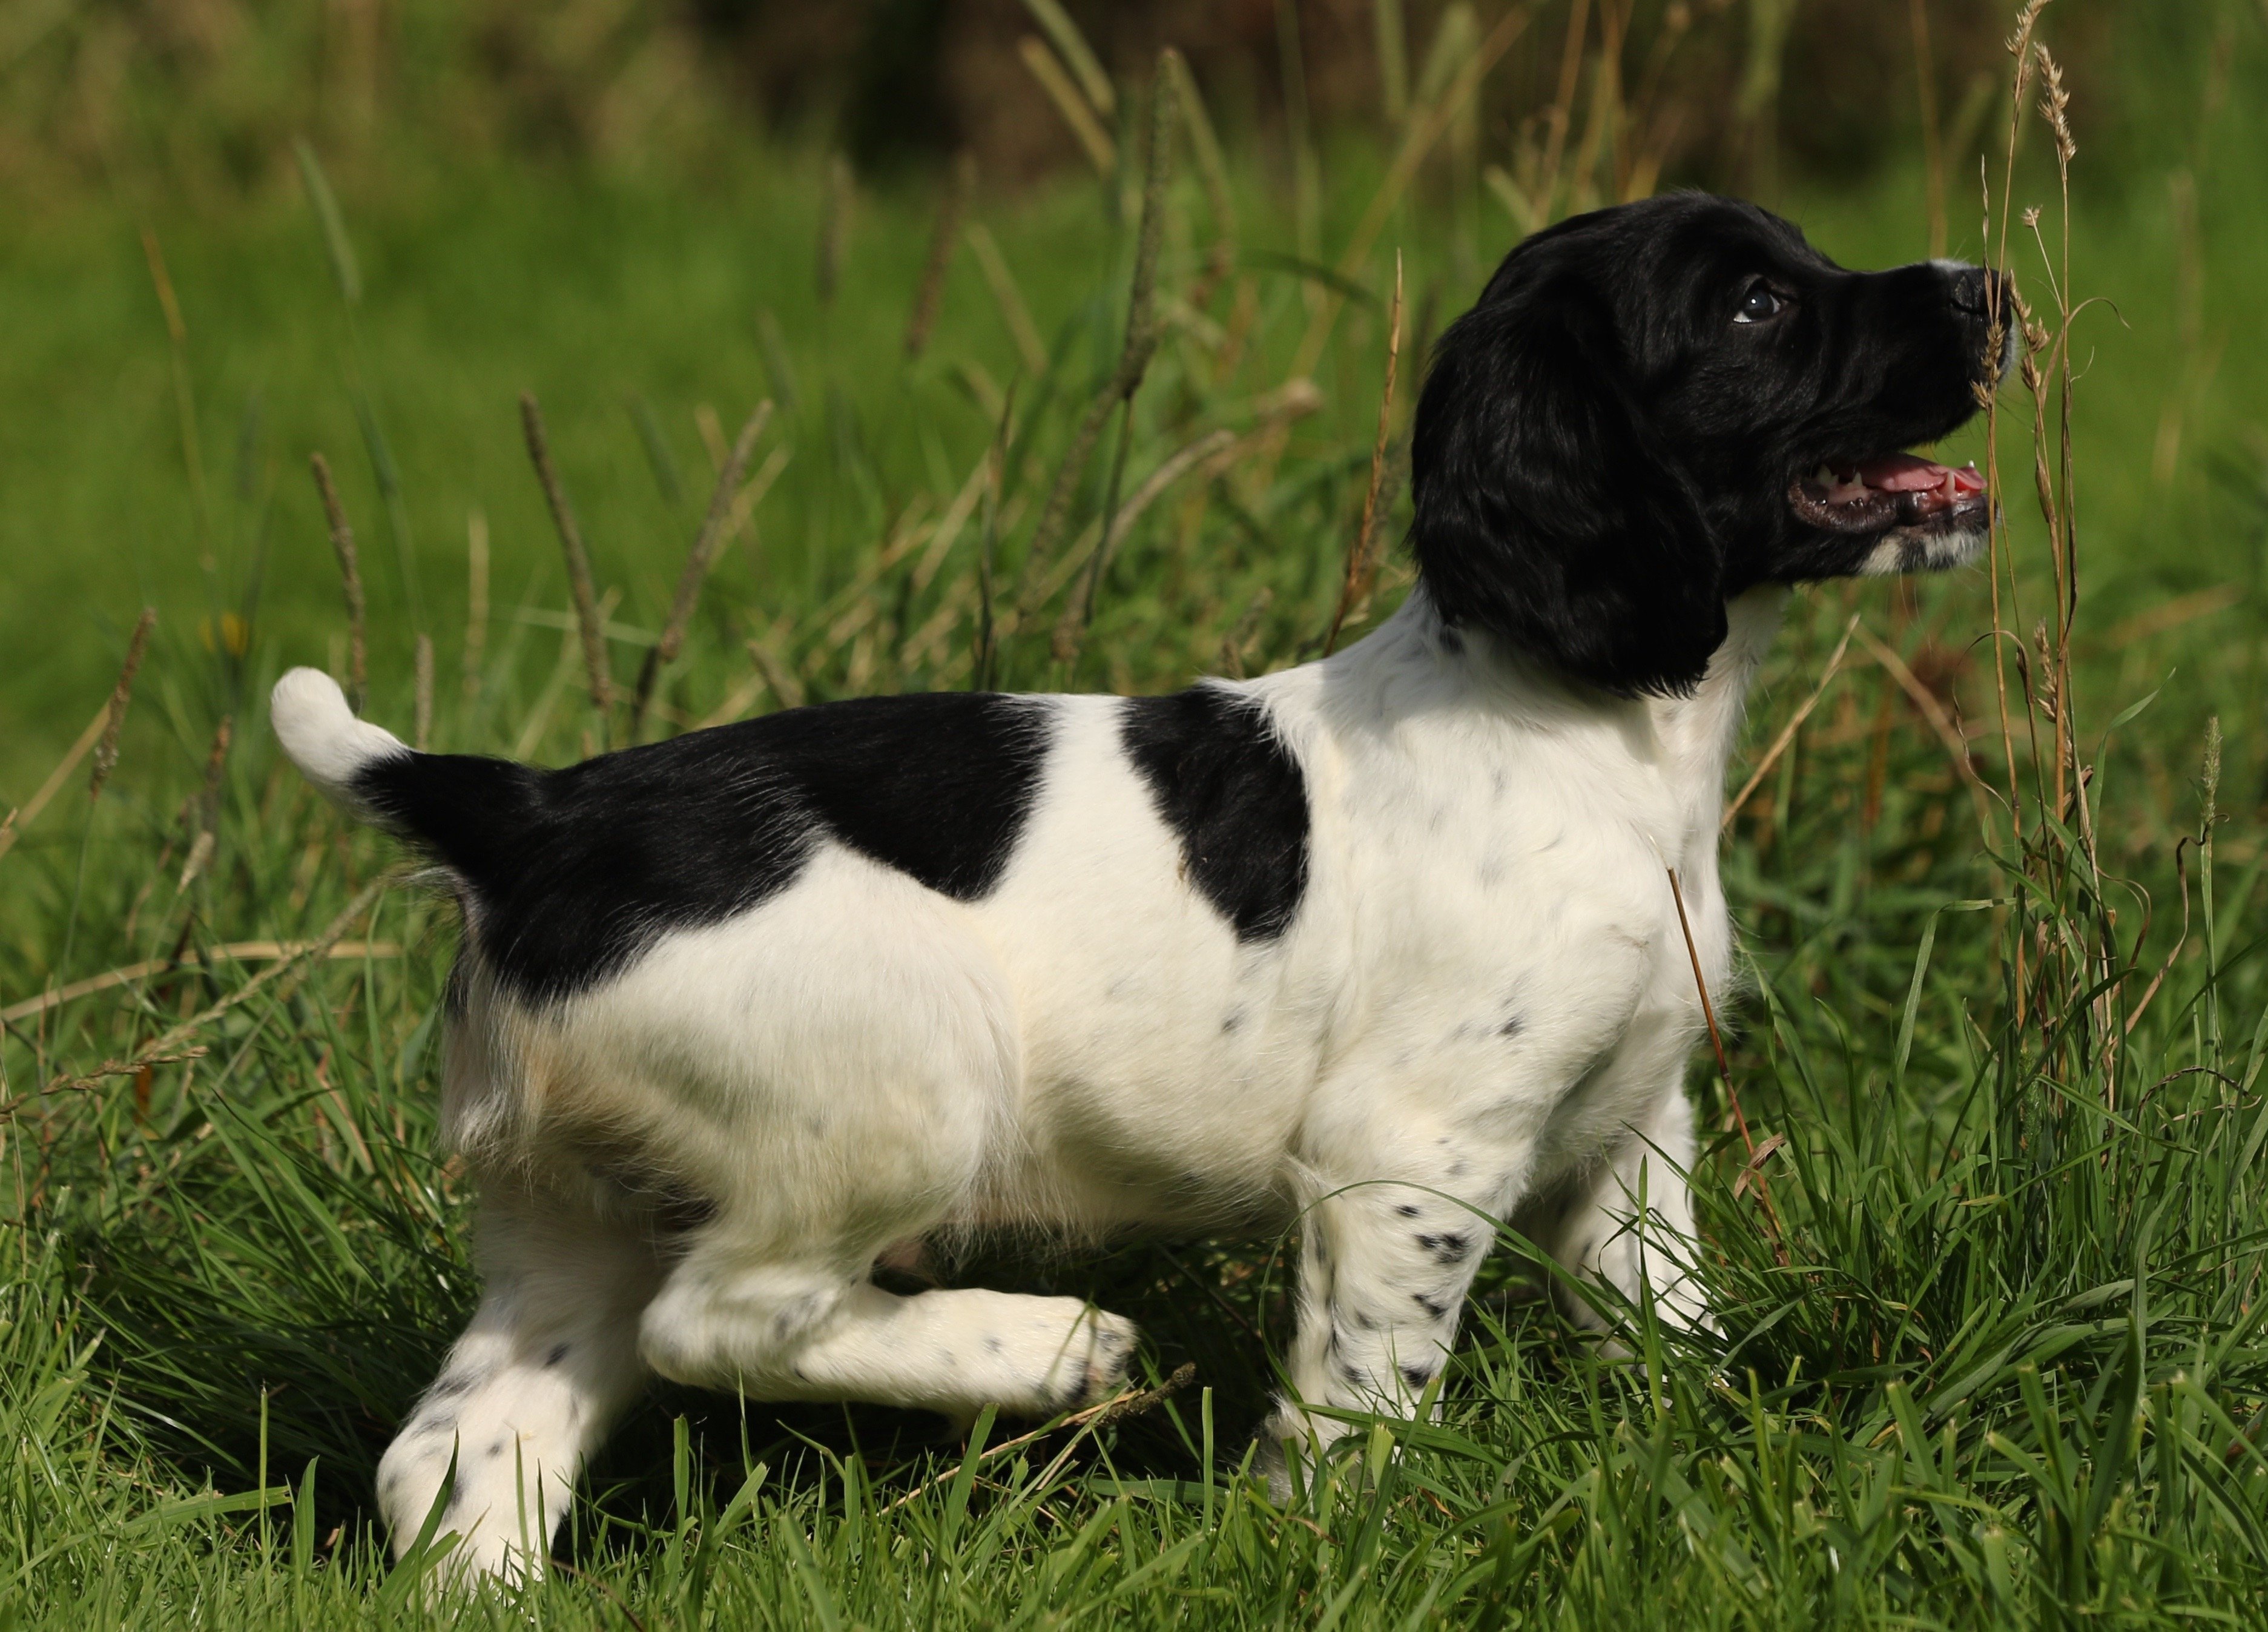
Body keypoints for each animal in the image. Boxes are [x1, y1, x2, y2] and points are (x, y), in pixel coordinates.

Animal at [279, 195, 2005, 1579]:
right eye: (1755, 305)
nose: (1986, 285)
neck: (1579, 723)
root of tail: (531, 814)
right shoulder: (1405, 1151)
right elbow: (1366, 1398)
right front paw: (1330, 1551)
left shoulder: (1631, 1127)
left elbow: (1670, 1340)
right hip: (901, 1090)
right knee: (722, 1319)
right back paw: (1049, 1350)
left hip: (581, 1203)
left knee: (461, 1448)